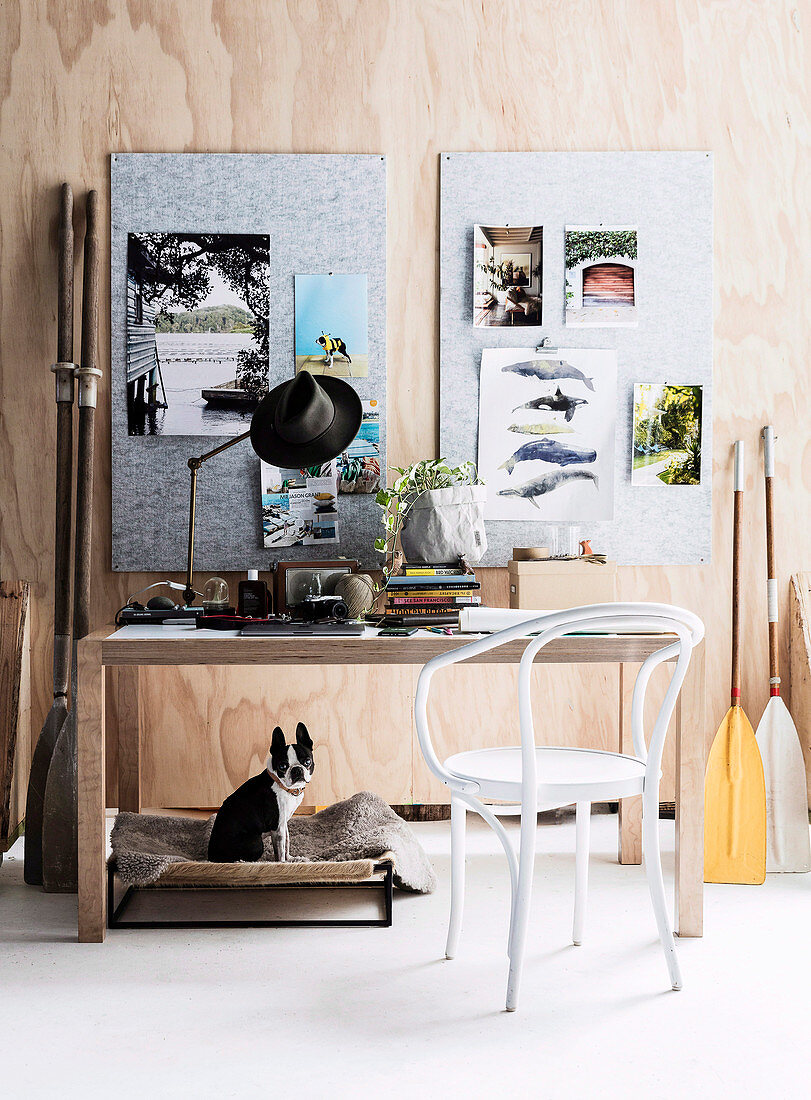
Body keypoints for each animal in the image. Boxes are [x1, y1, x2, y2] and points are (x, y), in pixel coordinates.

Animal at [205, 726, 312, 862]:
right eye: (282, 766)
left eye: (307, 762)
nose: (297, 769)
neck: (281, 785)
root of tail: (212, 856)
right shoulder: (277, 826)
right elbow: (281, 848)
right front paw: (283, 863)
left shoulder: (282, 824)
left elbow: (286, 843)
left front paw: (290, 858)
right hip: (256, 843)